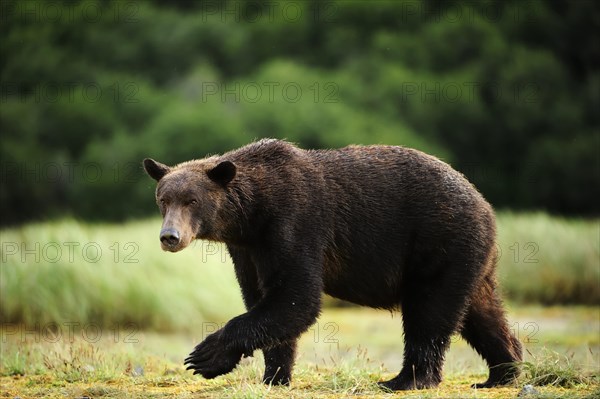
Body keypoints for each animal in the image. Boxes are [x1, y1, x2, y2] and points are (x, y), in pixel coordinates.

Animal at [143, 139, 524, 392]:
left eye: (192, 200)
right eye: (163, 200)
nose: (169, 236)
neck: (252, 215)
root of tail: (484, 202)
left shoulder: (295, 223)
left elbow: (296, 297)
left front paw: (204, 356)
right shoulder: (248, 250)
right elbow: (262, 298)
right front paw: (274, 375)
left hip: (438, 239)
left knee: (429, 312)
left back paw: (406, 379)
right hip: (470, 257)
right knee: (481, 310)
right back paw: (500, 372)